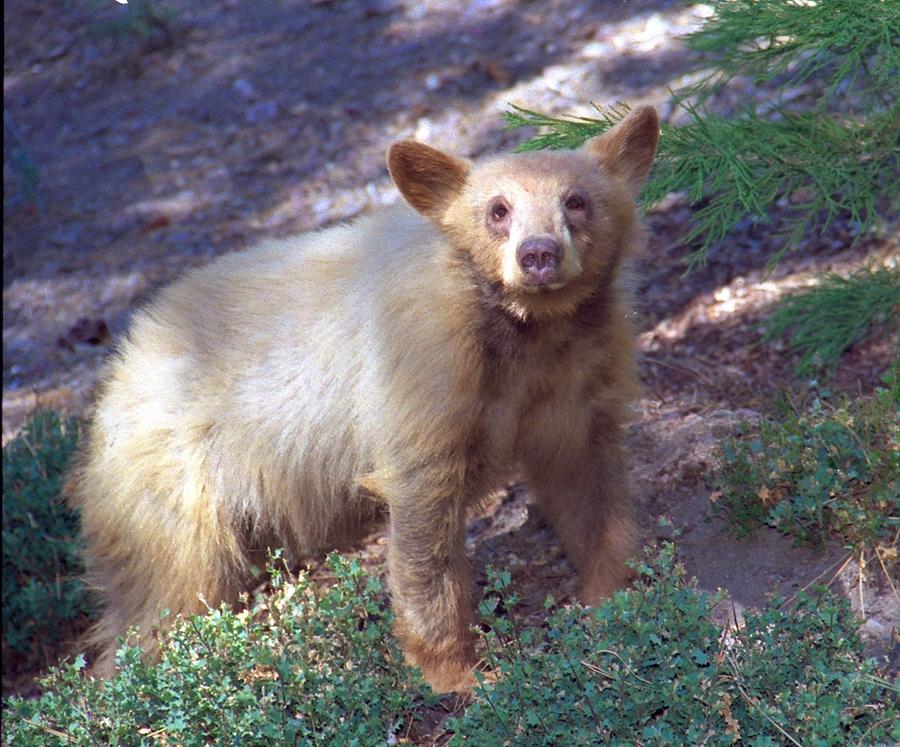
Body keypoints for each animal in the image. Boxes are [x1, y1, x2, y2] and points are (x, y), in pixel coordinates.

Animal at [68, 103, 660, 688]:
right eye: (497, 209)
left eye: (576, 201)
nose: (539, 254)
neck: (528, 333)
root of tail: (120, 371)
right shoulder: (425, 370)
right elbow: (424, 520)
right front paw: (462, 673)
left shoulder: (580, 372)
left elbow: (586, 481)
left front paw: (614, 599)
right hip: (171, 488)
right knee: (165, 595)